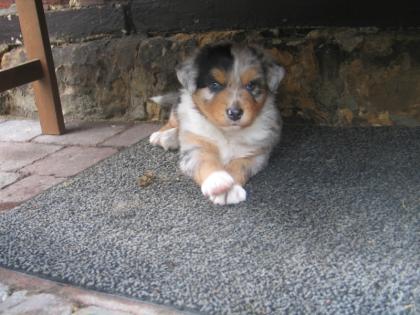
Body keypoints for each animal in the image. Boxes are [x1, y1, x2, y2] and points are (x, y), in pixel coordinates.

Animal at [149, 43, 284, 206]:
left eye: (251, 85)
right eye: (214, 85)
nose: (235, 113)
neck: (227, 133)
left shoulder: (255, 153)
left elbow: (238, 165)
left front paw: (230, 191)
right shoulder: (196, 147)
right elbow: (206, 160)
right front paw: (217, 180)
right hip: (179, 106)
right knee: (173, 120)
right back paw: (162, 136)